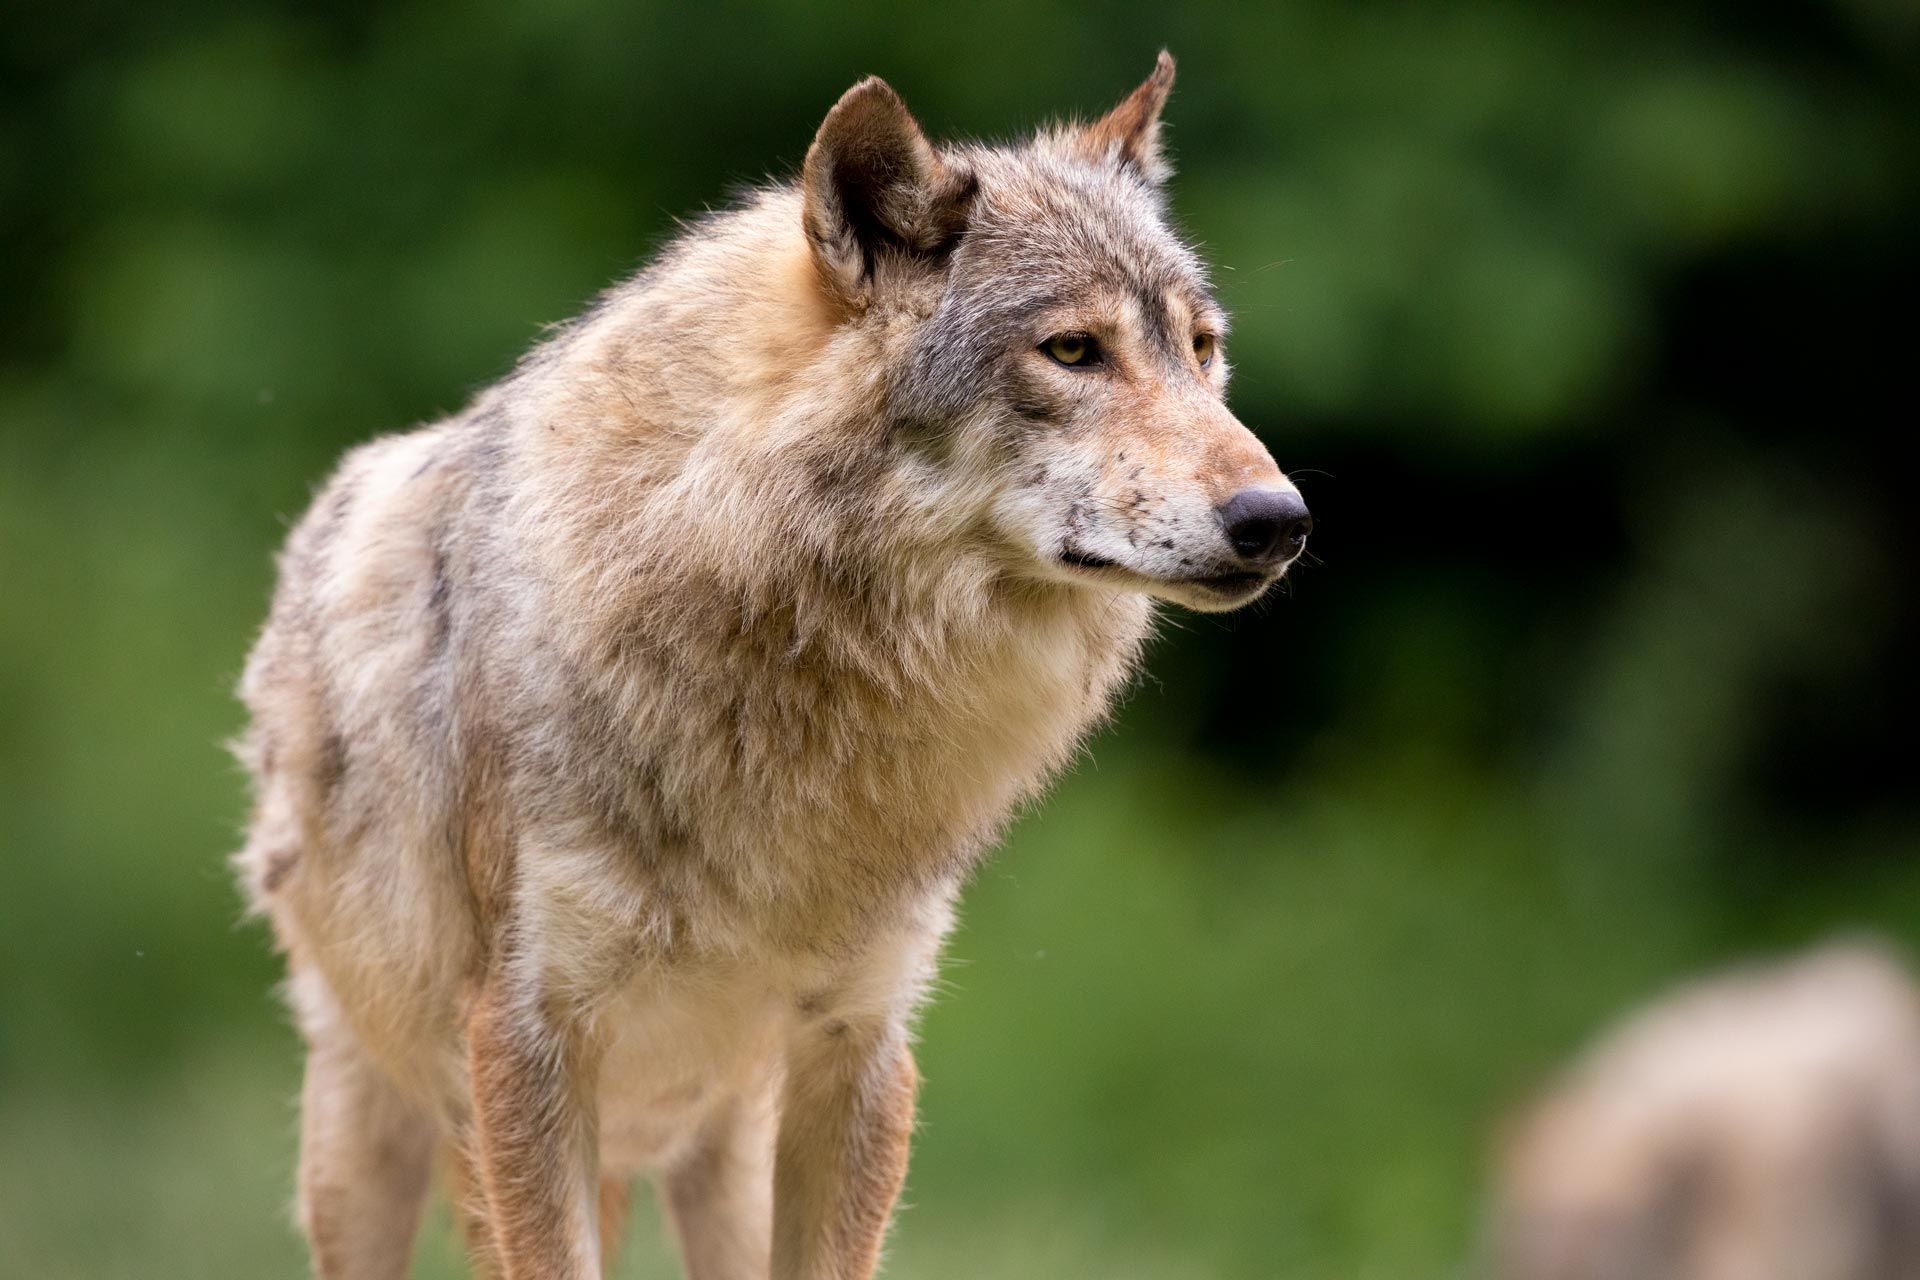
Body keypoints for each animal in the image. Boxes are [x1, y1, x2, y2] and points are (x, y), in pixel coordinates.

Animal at [233, 51, 1310, 1280]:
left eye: (1202, 349)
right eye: (1074, 349)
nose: (1280, 519)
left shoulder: (862, 1050)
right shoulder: (525, 1044)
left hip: (722, 1158)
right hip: (368, 1147)